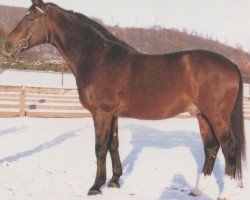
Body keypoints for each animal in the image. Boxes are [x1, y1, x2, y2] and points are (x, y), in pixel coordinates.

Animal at [4, 0, 245, 198]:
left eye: (31, 18)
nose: (8, 44)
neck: (98, 58)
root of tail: (232, 65)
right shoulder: (113, 114)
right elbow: (114, 144)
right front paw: (114, 181)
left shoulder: (101, 113)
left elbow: (100, 147)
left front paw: (95, 186)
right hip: (202, 115)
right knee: (211, 148)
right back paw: (197, 190)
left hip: (217, 116)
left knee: (229, 147)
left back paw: (225, 193)